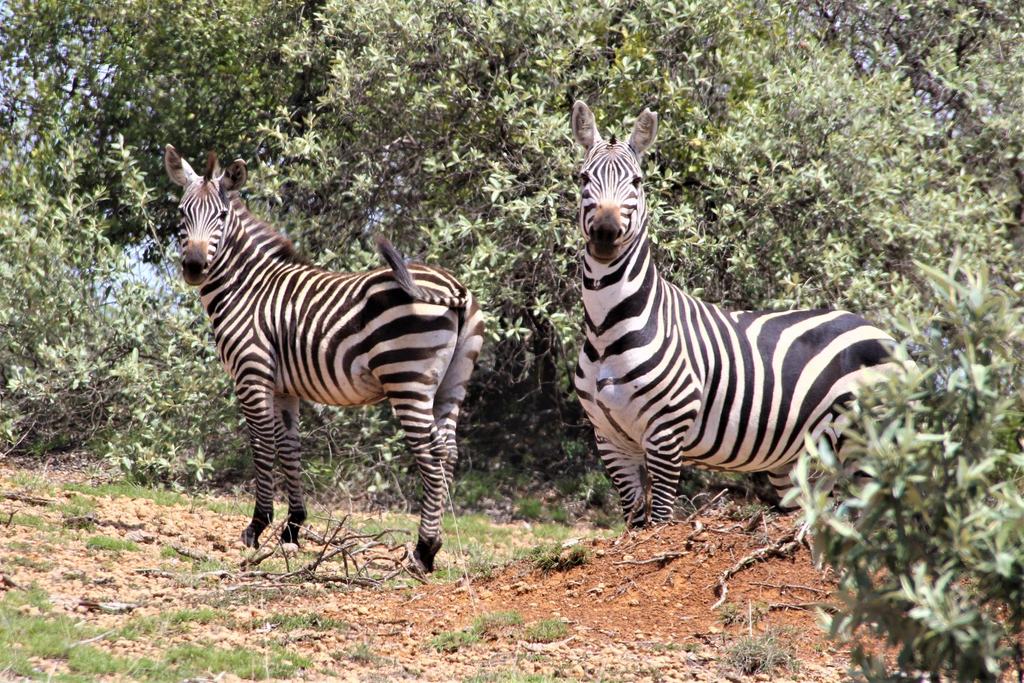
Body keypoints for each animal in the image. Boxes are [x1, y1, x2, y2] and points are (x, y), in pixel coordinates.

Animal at [164, 146, 484, 572]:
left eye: (221, 216)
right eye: (183, 213)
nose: (194, 267)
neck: (247, 288)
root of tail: (458, 289)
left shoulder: (252, 374)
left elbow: (262, 445)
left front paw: (257, 527)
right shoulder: (285, 388)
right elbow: (289, 447)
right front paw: (292, 528)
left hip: (407, 377)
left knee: (430, 456)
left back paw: (423, 550)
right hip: (453, 382)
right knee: (448, 451)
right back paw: (438, 543)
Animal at [569, 102, 903, 527]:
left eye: (638, 181)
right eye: (583, 177)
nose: (605, 233)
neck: (607, 330)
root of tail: (884, 334)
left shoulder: (666, 433)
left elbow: (659, 519)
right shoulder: (610, 439)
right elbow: (635, 522)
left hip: (865, 438)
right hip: (798, 459)